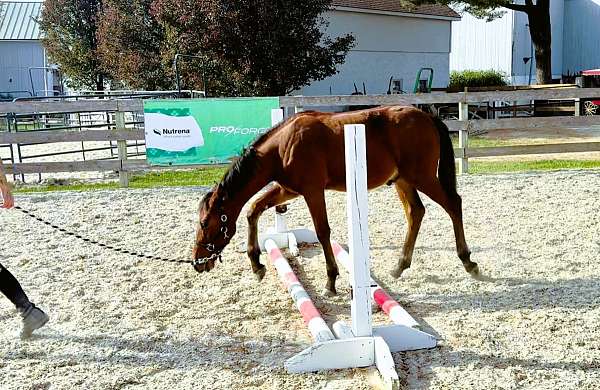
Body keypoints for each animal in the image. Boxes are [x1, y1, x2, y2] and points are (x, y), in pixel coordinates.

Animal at [190, 105, 480, 294]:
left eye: (205, 223)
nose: (197, 262)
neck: (283, 146)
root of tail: (427, 116)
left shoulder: (312, 191)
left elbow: (322, 231)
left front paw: (330, 281)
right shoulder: (287, 190)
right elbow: (253, 210)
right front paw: (256, 264)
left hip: (422, 178)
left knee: (453, 204)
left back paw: (468, 261)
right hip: (404, 181)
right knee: (416, 213)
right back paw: (400, 266)